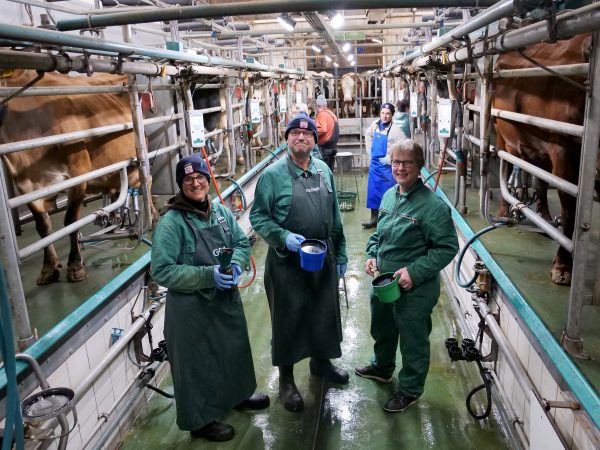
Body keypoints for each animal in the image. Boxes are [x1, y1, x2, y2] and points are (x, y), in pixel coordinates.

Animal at [0, 70, 157, 284]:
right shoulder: (27, 187)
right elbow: (43, 227)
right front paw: (49, 267)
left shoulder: (78, 175)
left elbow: (70, 221)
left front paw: (75, 265)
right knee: (116, 189)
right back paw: (115, 217)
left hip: (139, 158)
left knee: (147, 183)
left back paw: (153, 216)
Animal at [492, 33, 592, 284]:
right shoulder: (563, 151)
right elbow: (569, 209)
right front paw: (563, 266)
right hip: (501, 132)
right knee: (507, 166)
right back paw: (503, 212)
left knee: (541, 180)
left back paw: (544, 216)